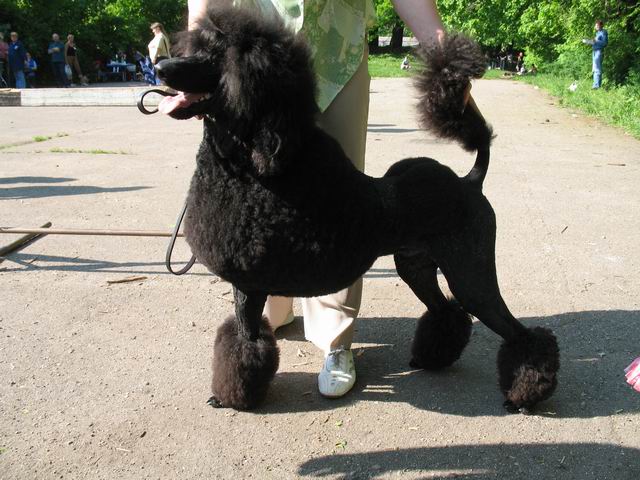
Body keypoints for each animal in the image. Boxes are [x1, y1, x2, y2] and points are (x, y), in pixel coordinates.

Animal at [154, 6, 560, 412]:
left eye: (215, 57)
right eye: (195, 47)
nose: (159, 67)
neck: (251, 166)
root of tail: (470, 181)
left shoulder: (249, 284)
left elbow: (247, 343)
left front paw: (236, 398)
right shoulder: (247, 285)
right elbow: (239, 339)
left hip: (469, 269)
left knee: (516, 330)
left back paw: (524, 395)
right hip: (416, 265)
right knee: (446, 311)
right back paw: (432, 358)